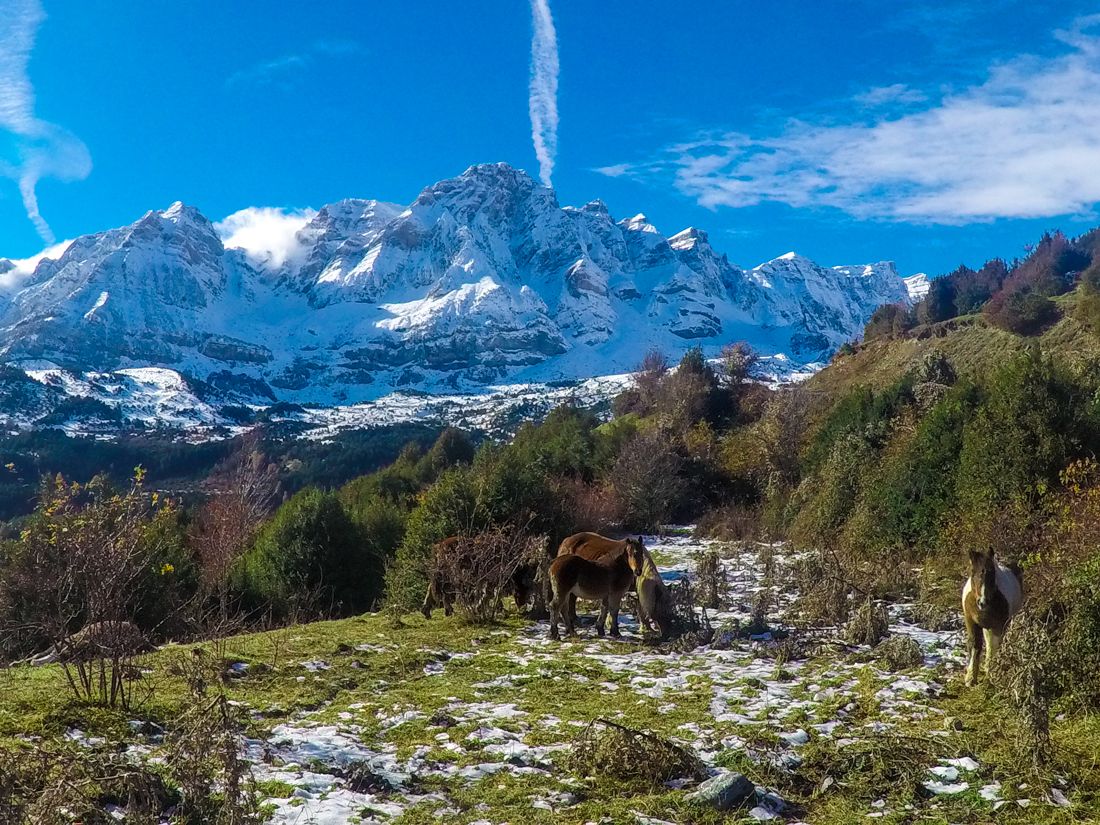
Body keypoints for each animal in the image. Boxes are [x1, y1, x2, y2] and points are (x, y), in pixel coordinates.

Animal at [961, 549, 1023, 686]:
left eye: (993, 574)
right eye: (973, 572)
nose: (982, 602)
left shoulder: (999, 625)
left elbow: (994, 645)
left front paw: (992, 673)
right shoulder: (971, 622)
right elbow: (975, 644)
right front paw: (970, 679)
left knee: (992, 645)